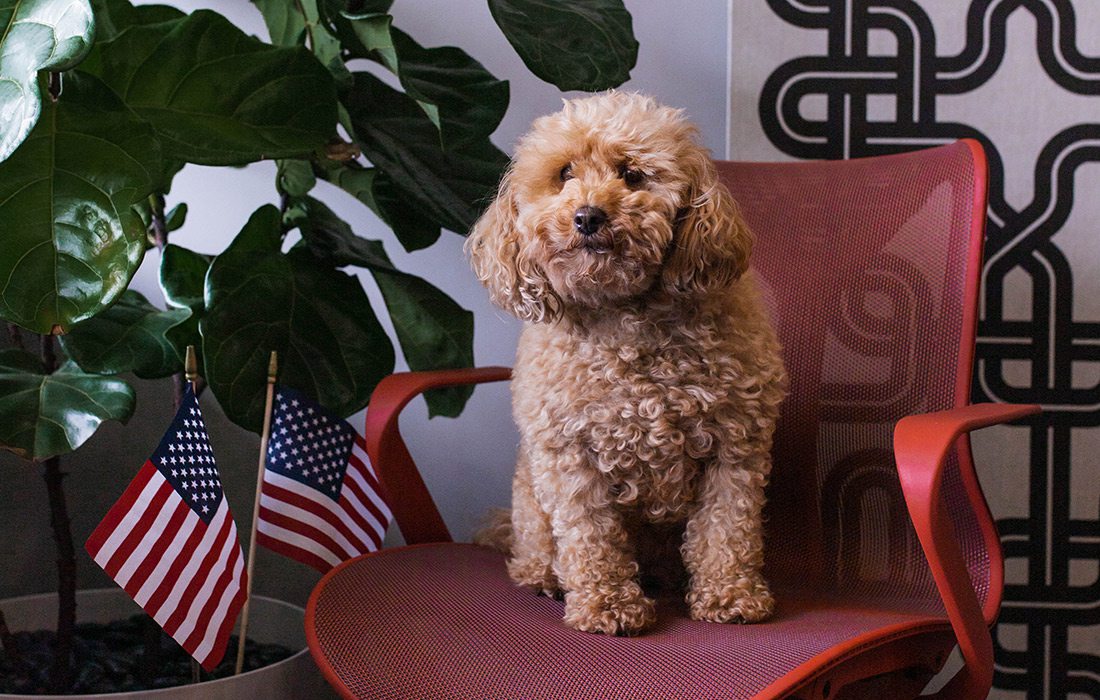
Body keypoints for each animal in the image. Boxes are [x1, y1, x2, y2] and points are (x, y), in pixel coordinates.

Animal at [464, 91, 783, 633]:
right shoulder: (570, 455)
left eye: (631, 174)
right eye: (565, 173)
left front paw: (731, 596)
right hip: (530, 498)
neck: (626, 319)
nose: (588, 216)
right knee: (535, 548)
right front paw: (607, 606)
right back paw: (545, 577)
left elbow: (727, 529)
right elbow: (591, 537)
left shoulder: (736, 446)